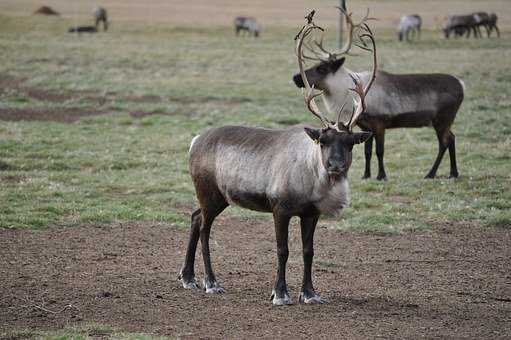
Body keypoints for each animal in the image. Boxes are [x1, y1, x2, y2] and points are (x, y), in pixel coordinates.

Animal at [179, 12, 376, 306]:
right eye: (323, 141)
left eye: (350, 143)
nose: (336, 166)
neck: (312, 179)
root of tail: (195, 141)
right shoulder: (280, 208)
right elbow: (282, 249)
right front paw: (280, 293)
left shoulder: (311, 213)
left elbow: (308, 251)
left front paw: (310, 293)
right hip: (209, 192)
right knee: (204, 228)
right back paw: (211, 282)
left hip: (219, 197)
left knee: (194, 217)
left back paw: (188, 277)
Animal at [292, 7, 464, 179]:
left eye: (322, 68)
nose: (295, 77)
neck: (346, 96)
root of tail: (462, 85)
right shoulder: (365, 125)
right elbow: (367, 151)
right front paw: (366, 175)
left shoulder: (380, 123)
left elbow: (379, 151)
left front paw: (381, 175)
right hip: (443, 121)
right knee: (452, 138)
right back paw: (453, 172)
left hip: (443, 119)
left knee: (444, 142)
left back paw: (431, 173)